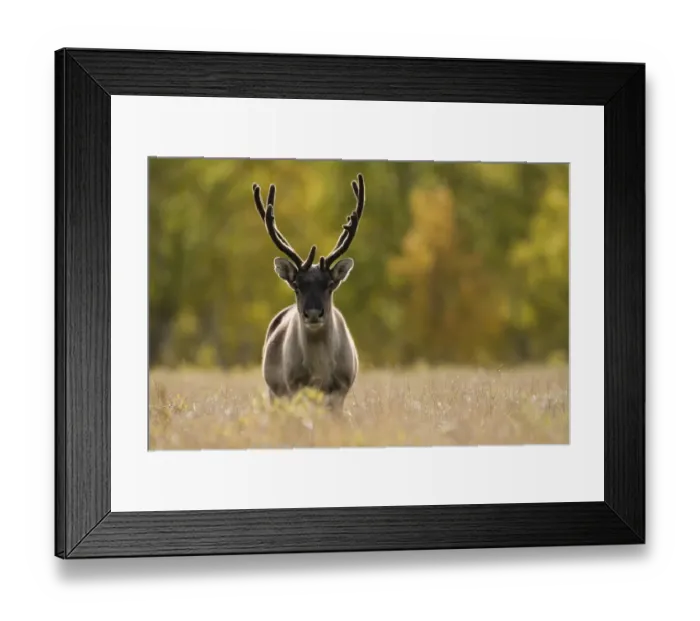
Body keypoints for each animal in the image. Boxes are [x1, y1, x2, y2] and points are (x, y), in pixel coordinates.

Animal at [251, 173, 366, 415]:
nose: (313, 313)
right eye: (296, 285)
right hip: (274, 391)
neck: (320, 369)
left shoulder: (341, 387)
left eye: (330, 284)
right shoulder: (295, 385)